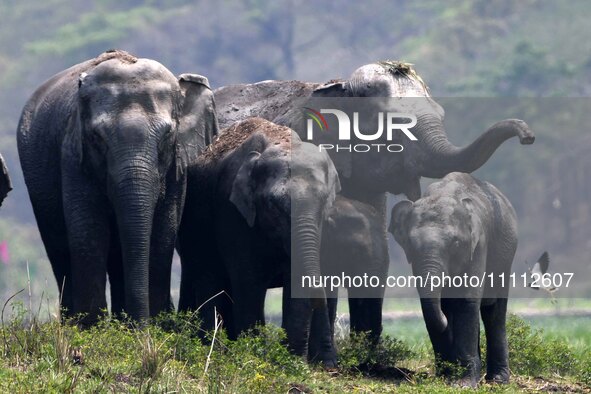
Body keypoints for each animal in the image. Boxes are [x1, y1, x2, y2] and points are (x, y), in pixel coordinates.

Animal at [17, 49, 219, 324]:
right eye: (97, 137)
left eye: (167, 136)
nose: (141, 328)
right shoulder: (73, 157)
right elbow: (88, 233)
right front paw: (91, 329)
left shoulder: (178, 168)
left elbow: (163, 233)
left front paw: (153, 327)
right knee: (59, 252)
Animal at [177, 116, 342, 366]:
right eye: (273, 205)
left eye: (324, 203)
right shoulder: (232, 213)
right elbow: (249, 281)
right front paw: (253, 358)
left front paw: (292, 363)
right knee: (209, 279)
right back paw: (212, 351)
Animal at [390, 172, 520, 384]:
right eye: (410, 244)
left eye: (456, 243)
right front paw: (447, 377)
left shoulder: (479, 245)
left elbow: (466, 300)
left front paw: (463, 384)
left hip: (506, 255)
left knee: (494, 312)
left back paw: (497, 380)